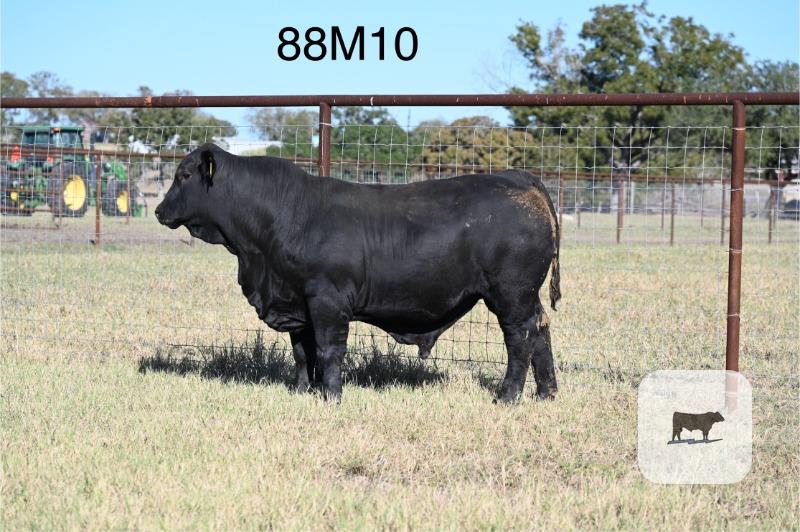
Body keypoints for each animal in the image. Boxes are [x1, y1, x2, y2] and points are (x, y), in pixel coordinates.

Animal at [154, 143, 561, 402]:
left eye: (184, 174)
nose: (158, 211)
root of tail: (519, 178)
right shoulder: (297, 300)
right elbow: (302, 352)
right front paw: (302, 391)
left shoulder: (327, 300)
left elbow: (328, 349)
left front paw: (332, 396)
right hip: (527, 296)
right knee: (541, 331)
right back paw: (546, 394)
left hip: (511, 294)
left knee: (520, 338)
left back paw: (507, 397)